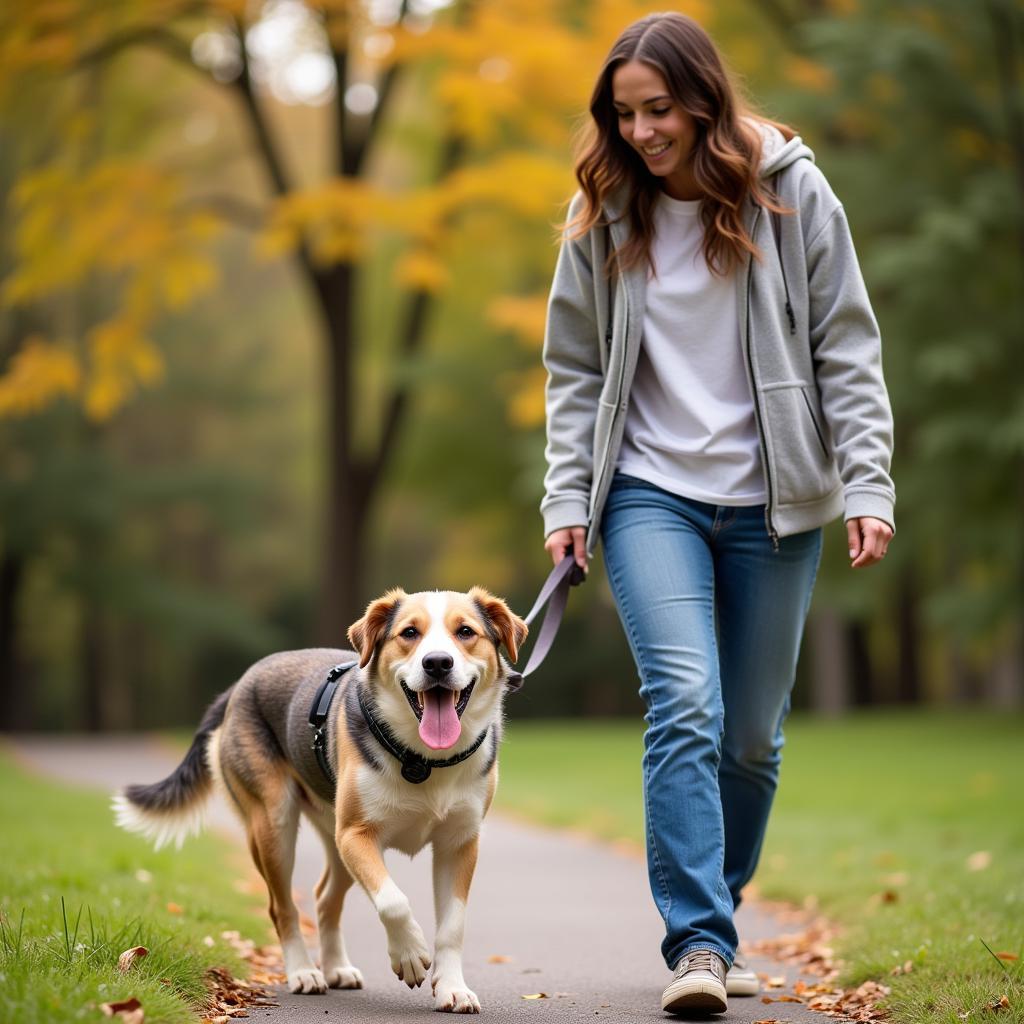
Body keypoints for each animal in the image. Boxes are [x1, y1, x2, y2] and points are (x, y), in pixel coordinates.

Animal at [113, 589, 528, 1011]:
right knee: (282, 907)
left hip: (335, 839)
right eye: (410, 633)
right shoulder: (357, 835)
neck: (423, 760)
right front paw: (410, 955)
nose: (438, 663)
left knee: (325, 898)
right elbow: (394, 901)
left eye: (466, 632)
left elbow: (452, 926)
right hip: (276, 825)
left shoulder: (458, 844)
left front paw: (452, 988)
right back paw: (303, 972)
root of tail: (240, 684)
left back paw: (336, 968)